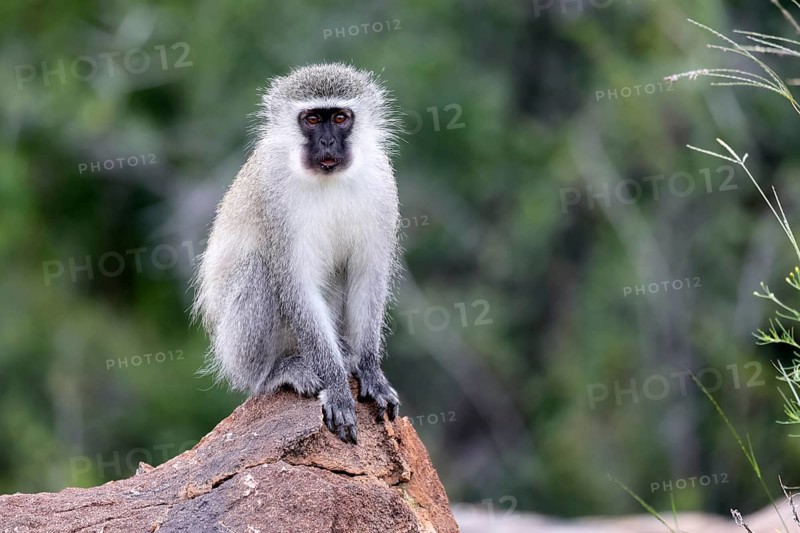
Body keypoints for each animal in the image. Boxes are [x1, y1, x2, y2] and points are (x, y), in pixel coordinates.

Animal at [192, 63, 401, 444]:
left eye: (340, 117)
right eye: (312, 120)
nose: (328, 142)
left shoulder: (382, 183)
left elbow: (367, 276)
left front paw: (370, 371)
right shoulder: (275, 196)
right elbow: (295, 286)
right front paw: (336, 386)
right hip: (237, 348)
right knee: (257, 269)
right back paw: (274, 373)